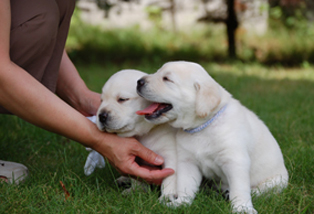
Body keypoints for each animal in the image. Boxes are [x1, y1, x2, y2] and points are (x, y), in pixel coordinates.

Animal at [136, 61, 288, 213]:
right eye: (157, 72)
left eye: (167, 79)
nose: (139, 81)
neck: (202, 127)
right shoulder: (188, 162)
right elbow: (185, 185)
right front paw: (181, 203)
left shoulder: (235, 161)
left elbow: (239, 188)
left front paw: (242, 208)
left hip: (277, 181)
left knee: (260, 191)